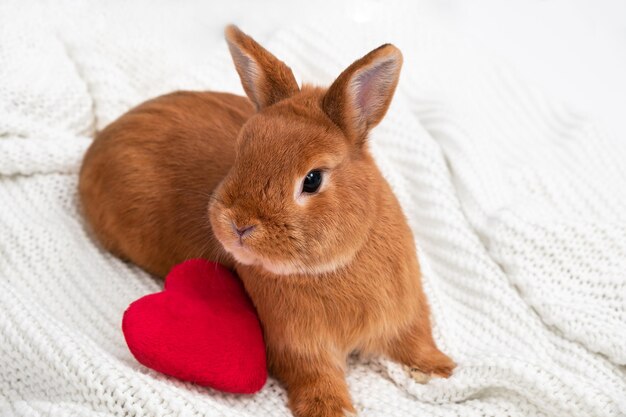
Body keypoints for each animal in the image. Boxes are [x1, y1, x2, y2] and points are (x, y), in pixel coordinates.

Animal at [79, 26, 454, 416]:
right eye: (240, 153)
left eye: (313, 179)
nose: (239, 225)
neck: (333, 265)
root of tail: (98, 145)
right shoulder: (297, 345)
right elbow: (315, 375)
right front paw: (329, 408)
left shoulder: (407, 311)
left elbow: (416, 339)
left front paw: (441, 368)